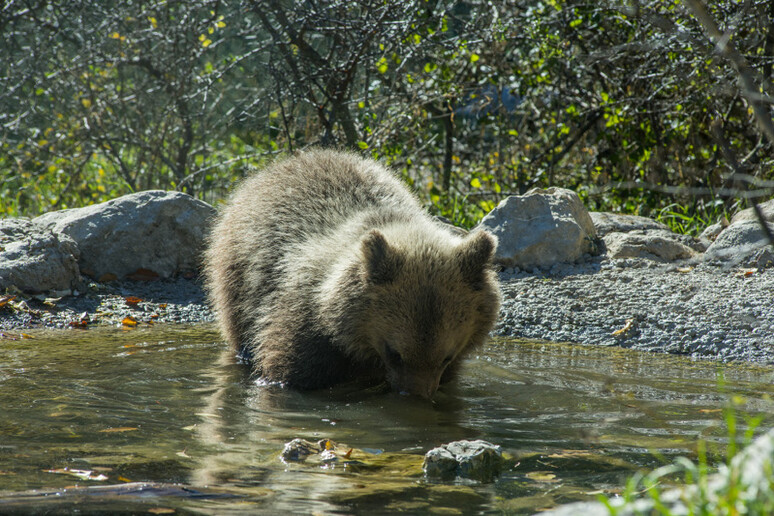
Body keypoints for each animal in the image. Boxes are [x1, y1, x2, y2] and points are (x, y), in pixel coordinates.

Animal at [203, 149, 500, 400]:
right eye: (395, 353)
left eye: (446, 357)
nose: (415, 395)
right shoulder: (304, 326)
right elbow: (290, 369)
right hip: (238, 271)